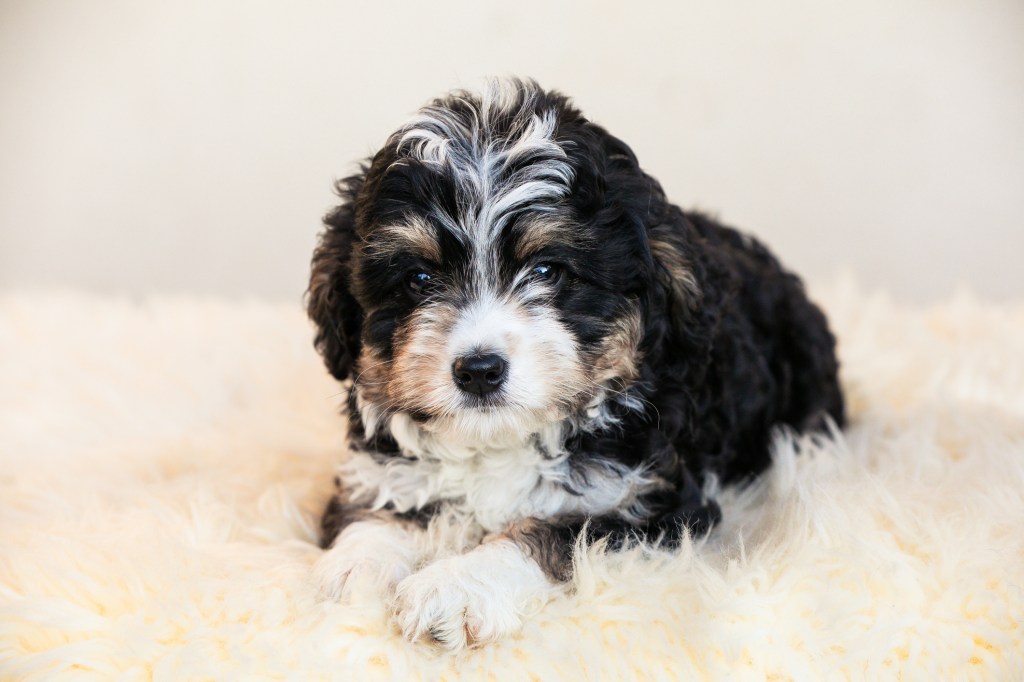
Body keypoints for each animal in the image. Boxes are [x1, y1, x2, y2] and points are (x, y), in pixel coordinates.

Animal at [307, 76, 843, 647]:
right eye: (419, 279)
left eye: (548, 270)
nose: (479, 370)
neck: (501, 442)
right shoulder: (380, 465)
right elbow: (378, 503)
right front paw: (356, 565)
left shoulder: (648, 503)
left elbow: (557, 533)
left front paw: (457, 587)